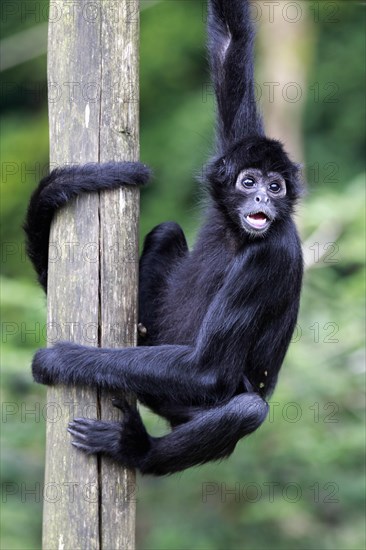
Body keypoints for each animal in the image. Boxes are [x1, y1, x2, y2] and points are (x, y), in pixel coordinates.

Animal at [23, 0, 304, 476]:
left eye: (276, 187)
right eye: (249, 182)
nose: (263, 198)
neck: (237, 235)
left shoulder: (270, 254)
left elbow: (207, 369)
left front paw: (61, 359)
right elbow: (231, 43)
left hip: (186, 401)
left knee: (247, 408)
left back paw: (135, 448)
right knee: (166, 230)